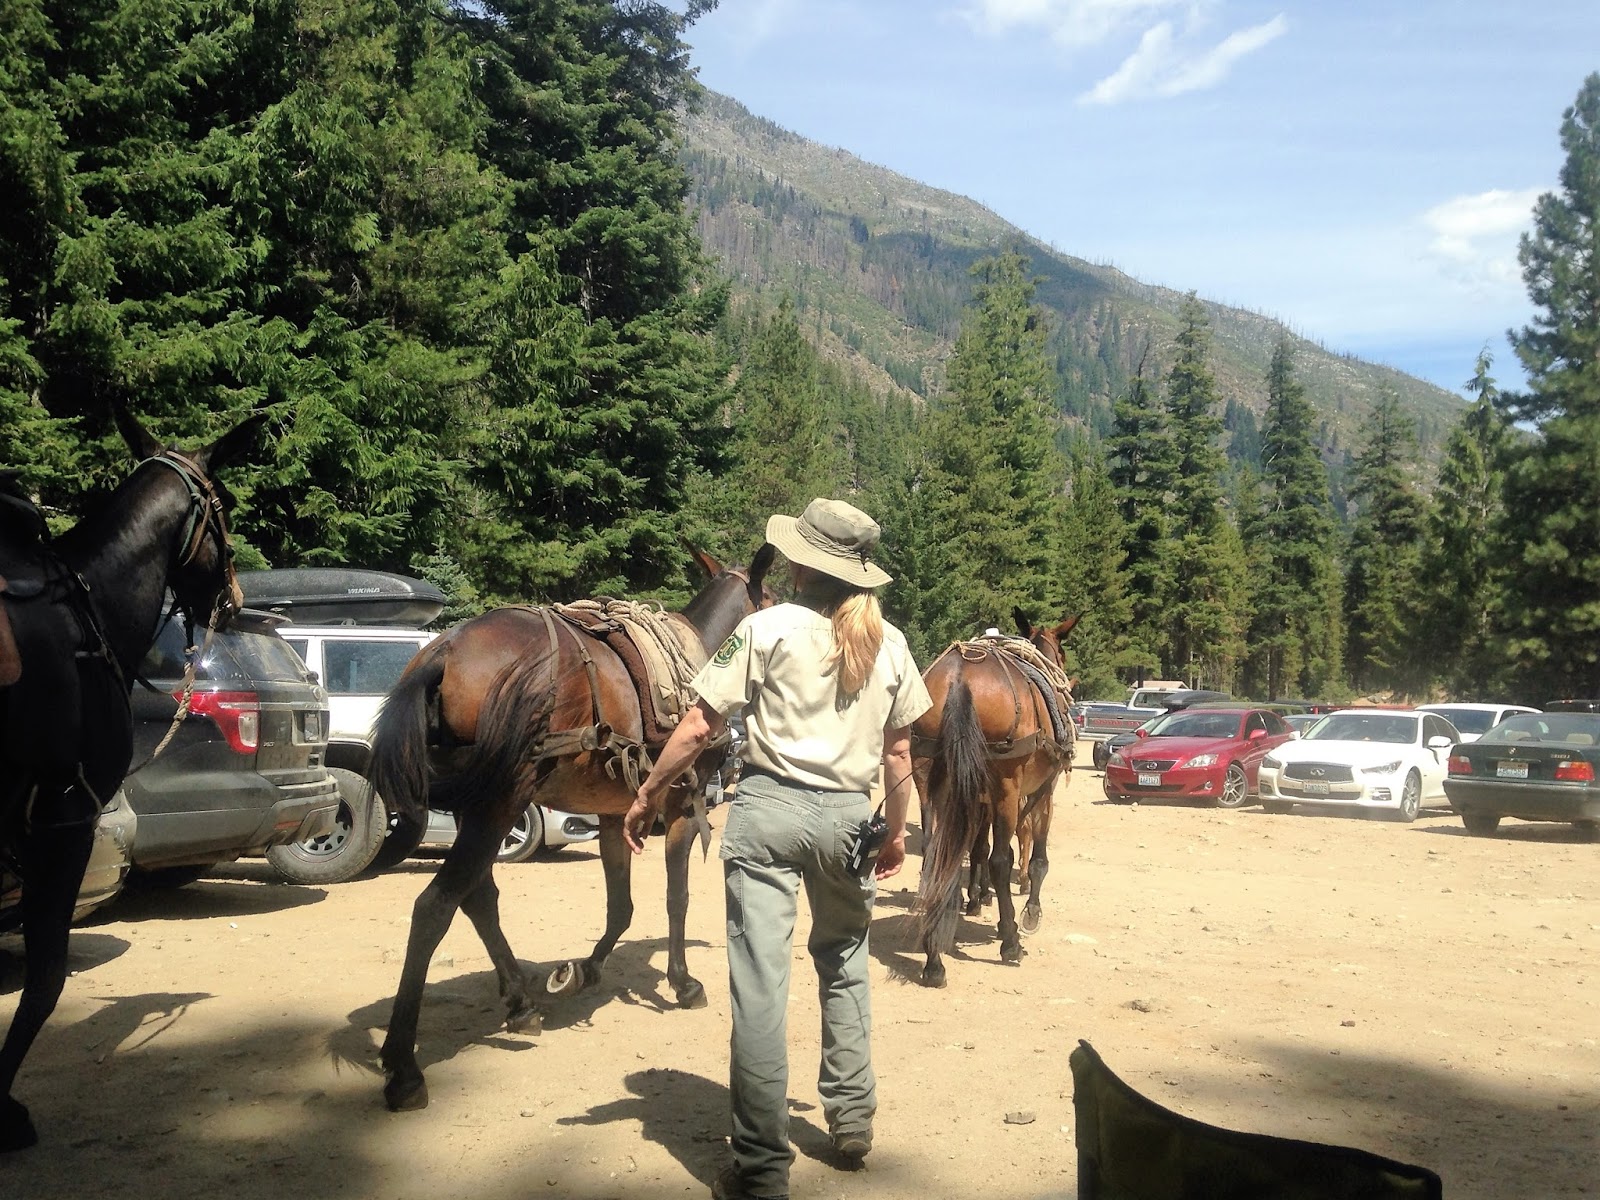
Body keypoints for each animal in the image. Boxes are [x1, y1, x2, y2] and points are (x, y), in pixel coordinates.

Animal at [367, 543, 776, 1112]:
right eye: (777, 599)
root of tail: (444, 651)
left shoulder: (615, 814)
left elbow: (620, 905)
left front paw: (584, 970)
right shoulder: (681, 809)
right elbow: (676, 898)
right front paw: (683, 982)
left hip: (478, 809)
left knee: (478, 898)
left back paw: (520, 1002)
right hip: (501, 804)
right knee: (435, 906)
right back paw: (404, 1068)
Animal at [912, 609, 1080, 988]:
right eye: (1062, 653)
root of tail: (958, 678)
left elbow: (975, 849)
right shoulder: (1041, 792)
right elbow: (1036, 858)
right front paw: (1029, 913)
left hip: (929, 779)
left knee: (934, 855)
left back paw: (933, 958)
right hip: (1004, 783)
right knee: (999, 860)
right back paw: (1010, 940)